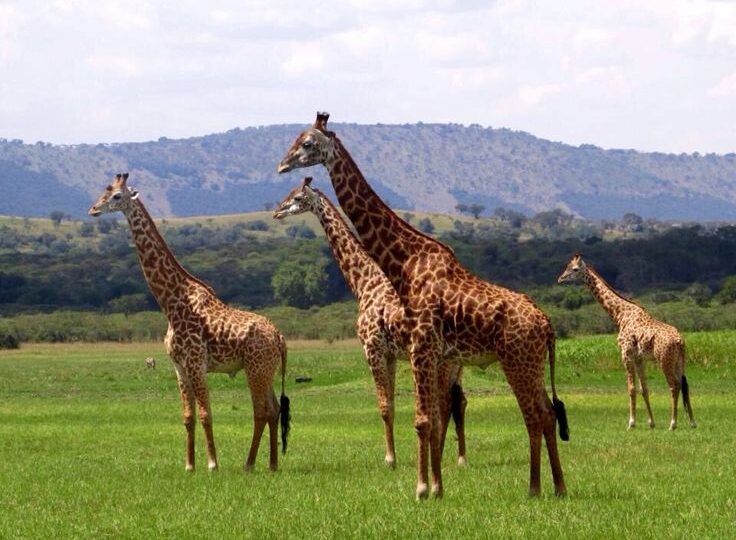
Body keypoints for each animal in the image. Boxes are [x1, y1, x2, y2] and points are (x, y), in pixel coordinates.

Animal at [88, 173, 291, 472]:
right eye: (104, 191)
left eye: (116, 196)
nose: (93, 209)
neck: (171, 303)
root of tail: (280, 338)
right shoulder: (179, 366)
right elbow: (188, 416)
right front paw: (189, 465)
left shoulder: (196, 363)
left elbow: (206, 414)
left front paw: (212, 464)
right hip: (264, 371)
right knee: (274, 409)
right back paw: (272, 464)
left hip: (256, 369)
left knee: (262, 411)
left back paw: (249, 464)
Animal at [273, 176, 467, 468]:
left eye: (297, 197)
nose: (277, 211)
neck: (364, 283)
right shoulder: (390, 354)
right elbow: (392, 404)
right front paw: (395, 455)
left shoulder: (372, 348)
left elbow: (384, 406)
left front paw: (390, 459)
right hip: (456, 363)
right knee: (458, 401)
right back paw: (459, 458)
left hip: (443, 361)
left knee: (445, 403)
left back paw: (442, 456)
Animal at [557, 253, 696, 430]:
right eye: (566, 267)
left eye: (574, 269)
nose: (560, 279)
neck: (619, 314)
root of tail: (680, 341)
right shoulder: (639, 358)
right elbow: (644, 389)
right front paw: (651, 422)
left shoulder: (626, 354)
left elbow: (631, 388)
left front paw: (631, 423)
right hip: (679, 361)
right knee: (685, 385)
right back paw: (692, 422)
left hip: (664, 360)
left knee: (674, 385)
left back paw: (673, 423)